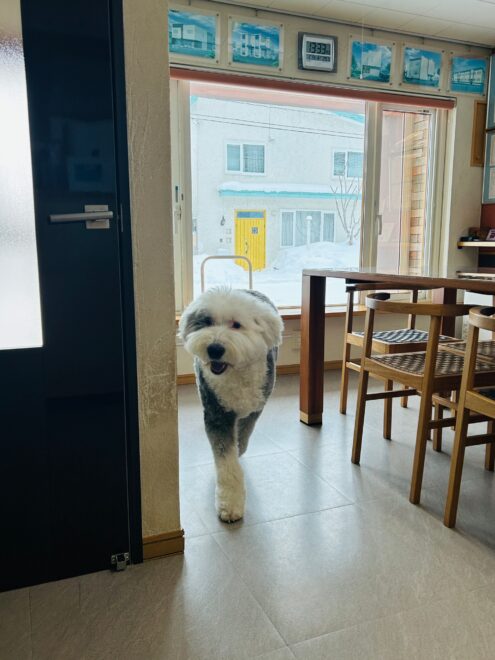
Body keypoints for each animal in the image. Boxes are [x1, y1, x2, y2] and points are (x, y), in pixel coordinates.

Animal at [179, 287, 283, 522]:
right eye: (206, 321)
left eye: (236, 325)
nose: (214, 349)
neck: (234, 372)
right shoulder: (216, 412)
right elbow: (226, 460)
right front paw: (230, 505)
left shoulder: (256, 405)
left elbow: (244, 431)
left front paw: (240, 447)